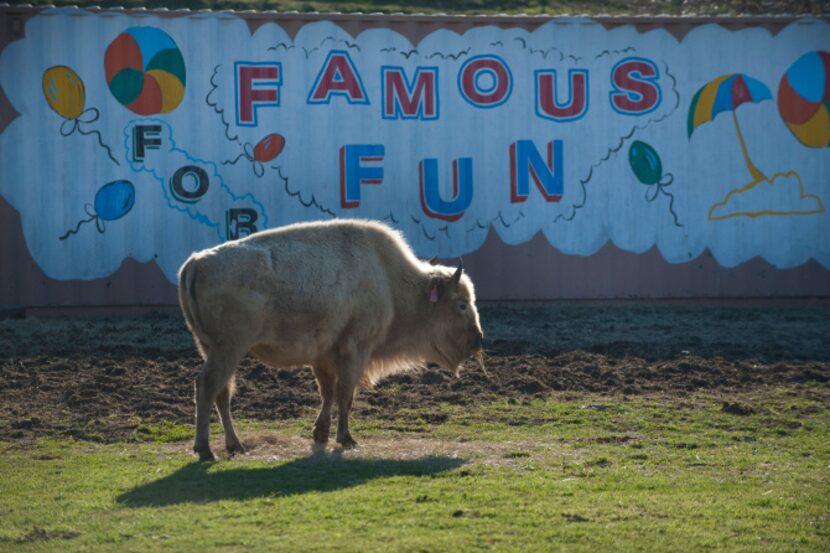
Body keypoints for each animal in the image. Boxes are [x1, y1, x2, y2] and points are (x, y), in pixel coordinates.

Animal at [179, 218, 484, 460]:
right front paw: (346, 439)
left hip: (213, 350)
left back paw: (234, 446)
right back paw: (205, 450)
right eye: (461, 304)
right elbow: (345, 394)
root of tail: (195, 262)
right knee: (207, 387)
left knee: (222, 393)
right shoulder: (356, 349)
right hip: (228, 350)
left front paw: (321, 434)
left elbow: (327, 393)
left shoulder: (323, 355)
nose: (478, 339)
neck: (388, 279)